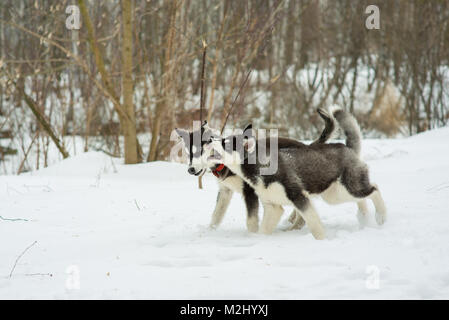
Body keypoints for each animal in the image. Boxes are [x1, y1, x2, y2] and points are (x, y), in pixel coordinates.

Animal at [173, 110, 334, 232]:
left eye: (200, 150)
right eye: (188, 153)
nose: (190, 169)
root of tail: (308, 146)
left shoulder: (250, 192)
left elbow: (251, 221)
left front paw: (253, 236)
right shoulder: (225, 191)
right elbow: (216, 215)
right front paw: (210, 231)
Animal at [205, 106, 386, 239]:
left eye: (225, 143)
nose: (210, 139)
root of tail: (347, 148)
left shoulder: (298, 197)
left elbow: (314, 225)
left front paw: (322, 240)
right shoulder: (273, 206)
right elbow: (263, 229)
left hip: (346, 189)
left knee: (375, 189)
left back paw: (381, 217)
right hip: (335, 195)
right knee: (363, 197)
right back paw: (364, 218)